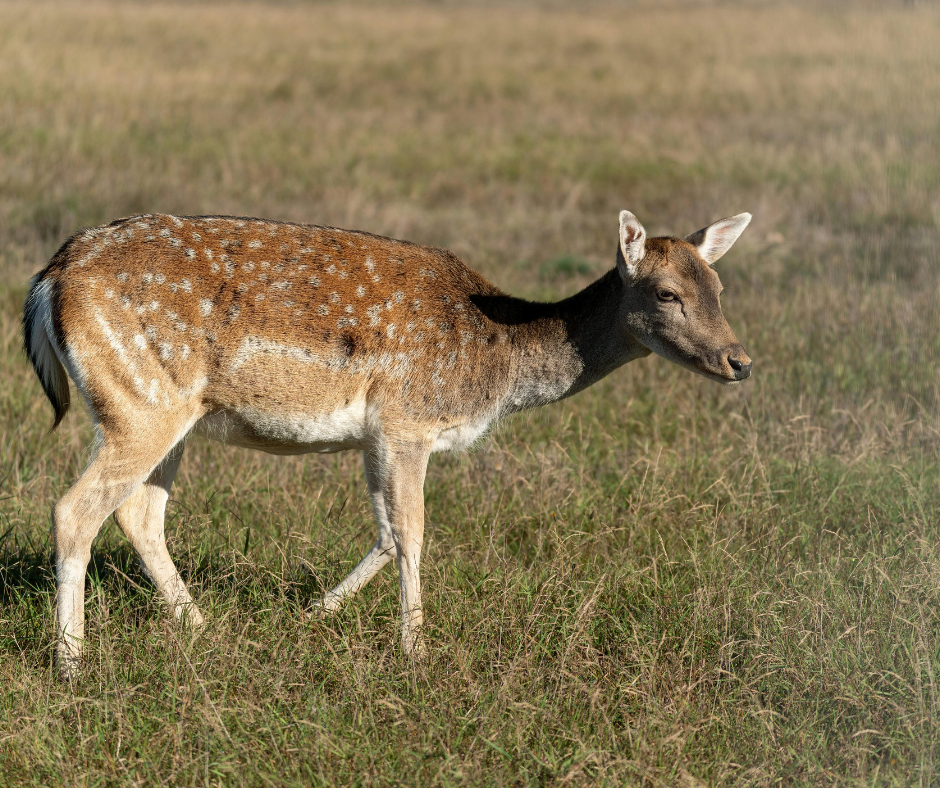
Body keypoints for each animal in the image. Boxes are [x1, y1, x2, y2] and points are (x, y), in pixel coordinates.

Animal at [23, 208, 752, 678]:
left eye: (719, 286)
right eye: (666, 293)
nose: (740, 361)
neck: (496, 366)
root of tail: (48, 279)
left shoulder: (375, 435)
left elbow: (384, 531)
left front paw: (312, 617)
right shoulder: (408, 422)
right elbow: (414, 531)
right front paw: (416, 655)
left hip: (167, 412)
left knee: (139, 512)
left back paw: (202, 629)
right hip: (140, 403)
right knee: (75, 510)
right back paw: (71, 663)